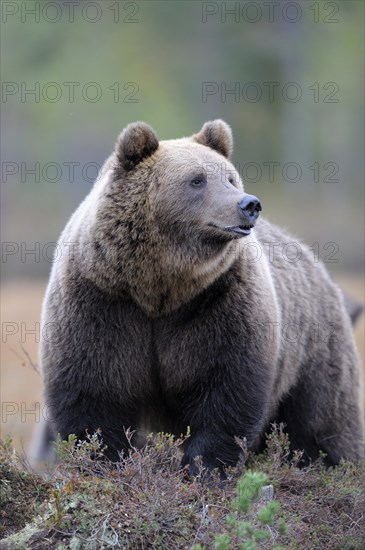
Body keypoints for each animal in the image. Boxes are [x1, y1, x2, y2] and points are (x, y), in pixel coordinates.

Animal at [38, 121, 362, 474]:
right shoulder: (101, 299)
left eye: (230, 178)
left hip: (313, 351)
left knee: (322, 420)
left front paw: (204, 467)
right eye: (197, 179)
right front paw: (106, 461)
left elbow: (226, 388)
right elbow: (94, 391)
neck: (160, 286)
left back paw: (334, 463)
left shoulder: (219, 299)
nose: (249, 204)